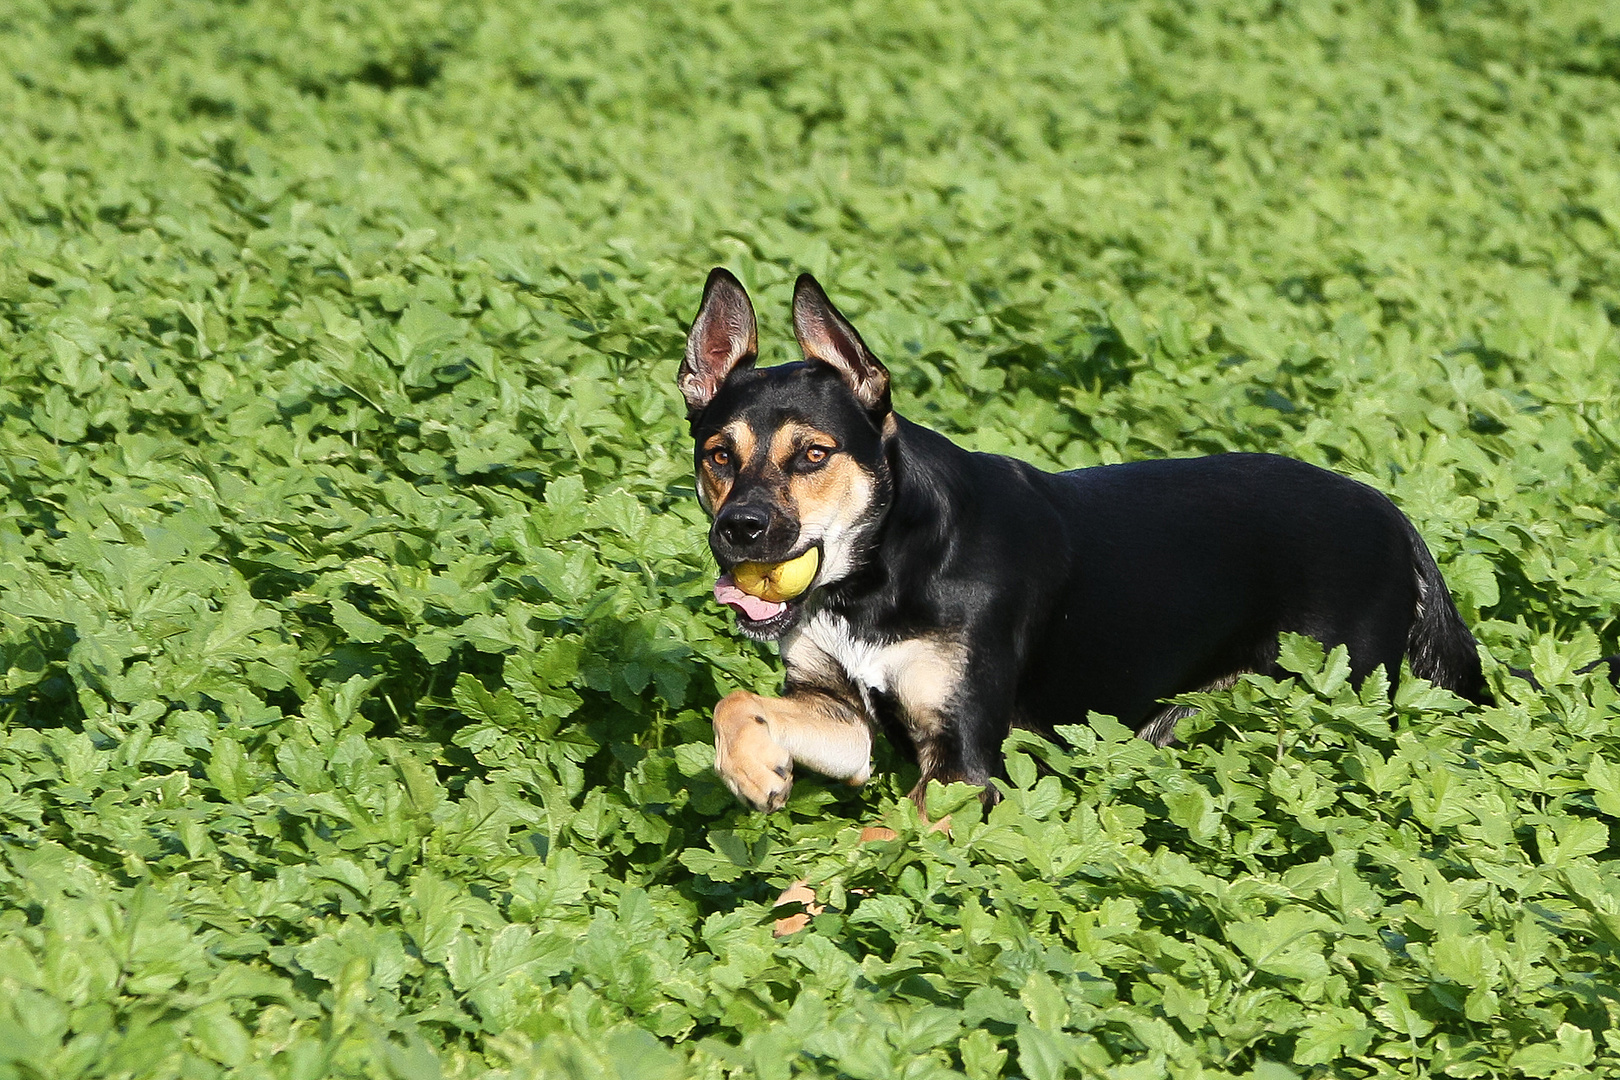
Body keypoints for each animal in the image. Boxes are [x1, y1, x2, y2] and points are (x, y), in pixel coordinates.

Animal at [680, 268, 1607, 809]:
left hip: (1339, 695)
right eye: (719, 454)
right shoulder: (846, 715)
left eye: (813, 454)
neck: (878, 573)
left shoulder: (965, 761)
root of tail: (1396, 515)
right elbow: (740, 703)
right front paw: (753, 770)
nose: (740, 531)